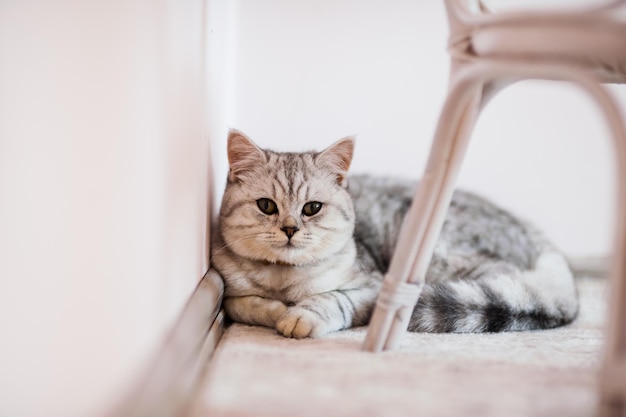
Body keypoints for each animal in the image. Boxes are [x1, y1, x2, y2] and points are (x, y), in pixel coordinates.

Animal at [212, 129, 576, 338]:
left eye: (312, 208)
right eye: (266, 206)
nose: (289, 229)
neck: (284, 280)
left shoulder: (369, 287)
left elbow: (333, 299)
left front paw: (300, 316)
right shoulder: (229, 291)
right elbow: (245, 305)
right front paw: (276, 311)